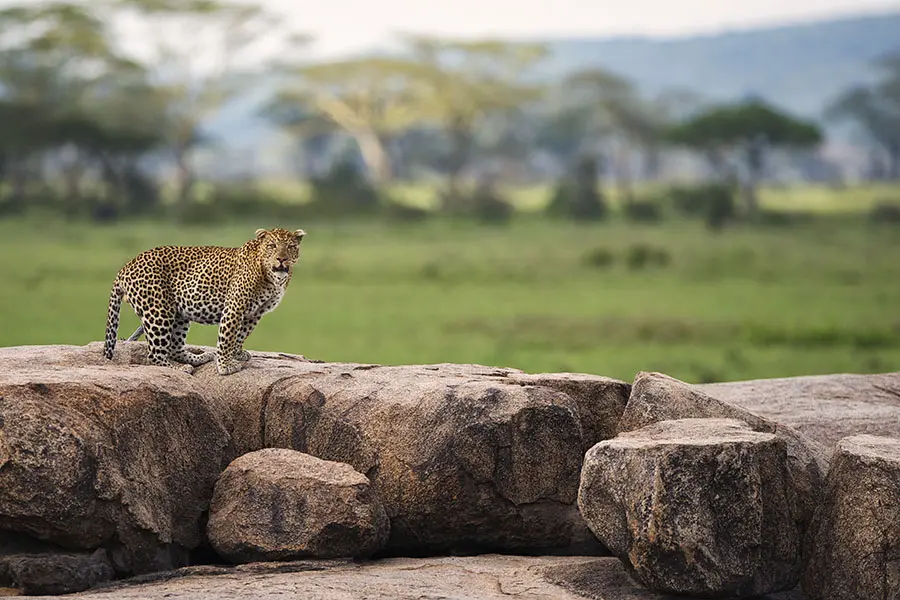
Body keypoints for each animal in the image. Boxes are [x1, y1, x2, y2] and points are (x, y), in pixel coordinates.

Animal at [103, 226, 308, 376]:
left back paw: (200, 358)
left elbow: (241, 335)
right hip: (158, 311)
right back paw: (180, 369)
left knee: (174, 347)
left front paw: (236, 353)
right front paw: (225, 365)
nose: (281, 259)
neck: (273, 279)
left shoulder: (255, 313)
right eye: (272, 246)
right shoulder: (235, 307)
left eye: (290, 247)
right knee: (155, 354)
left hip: (180, 313)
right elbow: (227, 337)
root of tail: (126, 266)